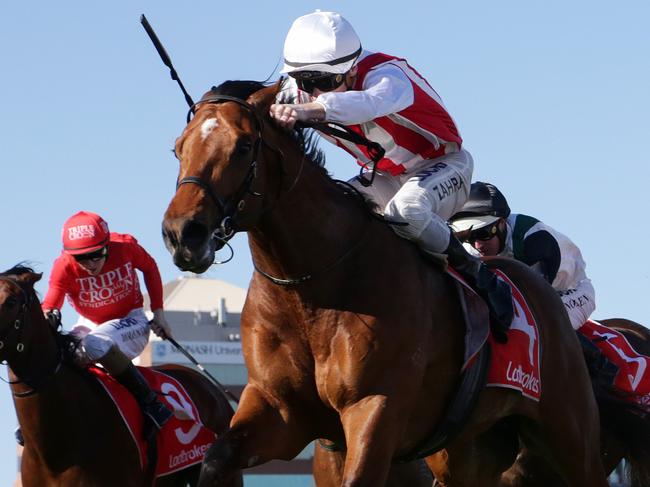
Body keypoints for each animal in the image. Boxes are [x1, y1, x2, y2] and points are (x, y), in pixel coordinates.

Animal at [161, 81, 608, 487]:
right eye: (178, 148)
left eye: (242, 146)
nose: (183, 234)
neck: (312, 291)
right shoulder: (279, 411)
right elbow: (216, 459)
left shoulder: (374, 407)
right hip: (470, 450)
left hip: (571, 432)